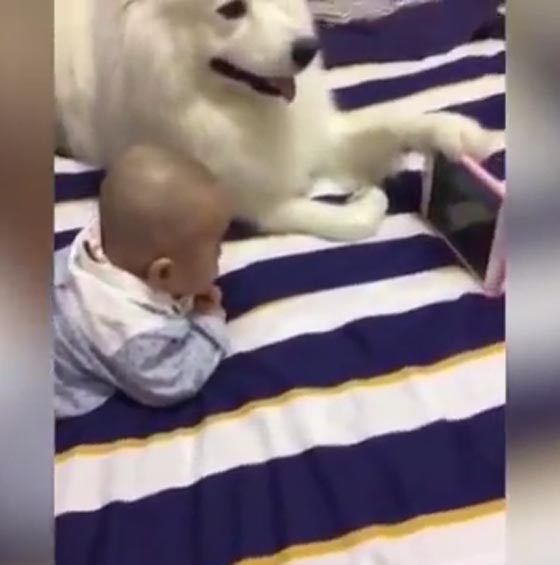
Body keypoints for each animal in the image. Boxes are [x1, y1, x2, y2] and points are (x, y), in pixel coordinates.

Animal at [55, 0, 500, 241]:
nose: (309, 49)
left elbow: (392, 118)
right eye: (231, 9)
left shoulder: (319, 136)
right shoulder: (250, 202)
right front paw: (366, 197)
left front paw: (458, 133)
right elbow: (347, 220)